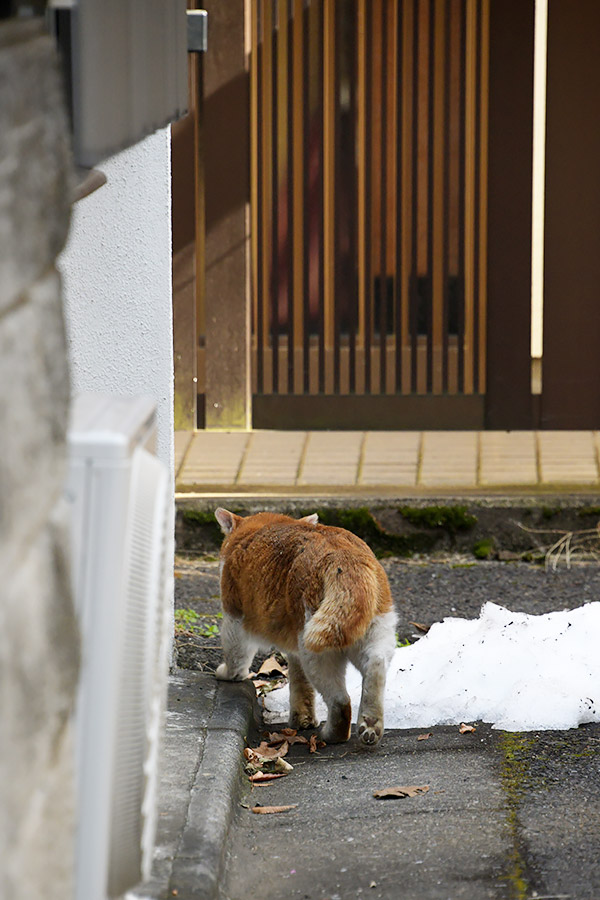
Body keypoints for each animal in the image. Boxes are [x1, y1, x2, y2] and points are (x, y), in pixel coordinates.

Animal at [213, 510, 396, 748]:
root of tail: (344, 555)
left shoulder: (234, 616)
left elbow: (236, 655)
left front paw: (229, 674)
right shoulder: (294, 648)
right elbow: (301, 684)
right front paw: (303, 719)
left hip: (316, 648)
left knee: (340, 701)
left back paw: (333, 734)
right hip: (374, 631)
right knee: (376, 665)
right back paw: (371, 723)